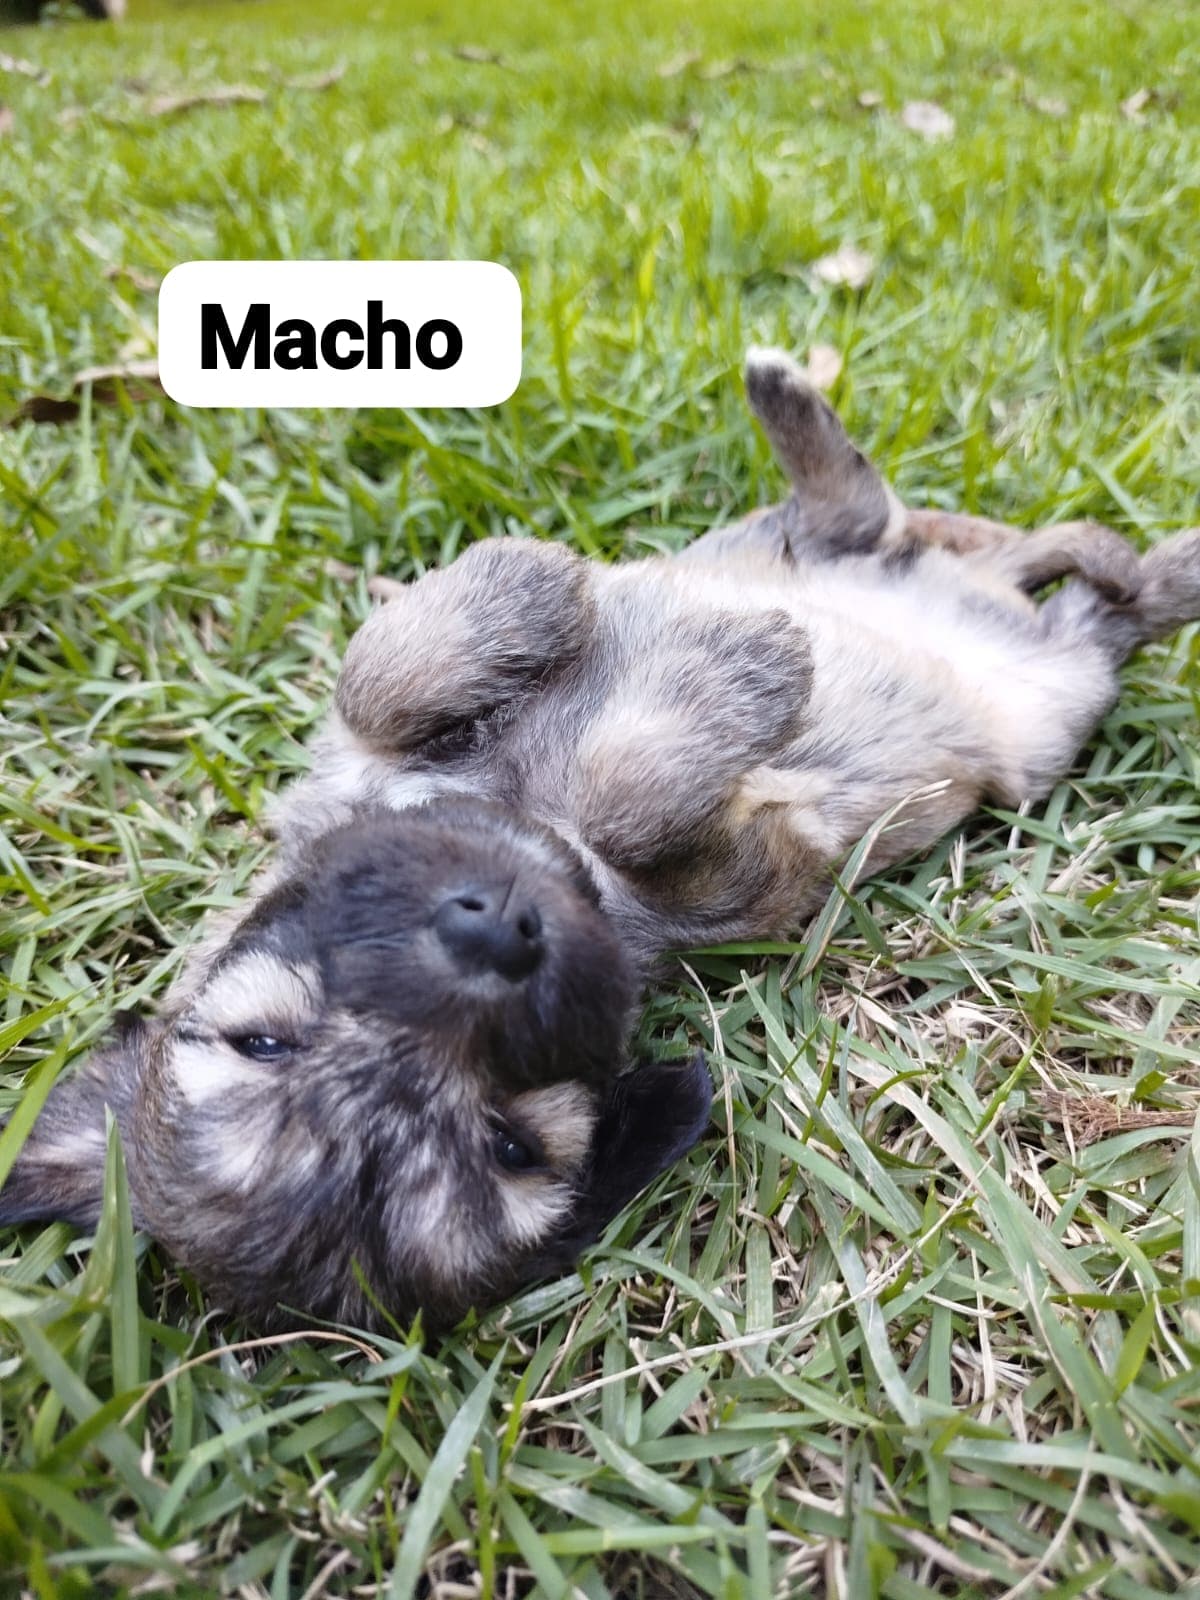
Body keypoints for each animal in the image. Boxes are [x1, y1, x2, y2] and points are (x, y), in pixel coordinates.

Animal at [4, 348, 1197, 1330]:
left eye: (262, 1042)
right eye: (510, 1143)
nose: (493, 933)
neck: (535, 823)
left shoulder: (357, 748)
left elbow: (384, 669)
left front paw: (537, 585)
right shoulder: (749, 872)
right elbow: (637, 794)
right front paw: (743, 672)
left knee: (875, 526)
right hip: (1049, 717)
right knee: (1097, 613)